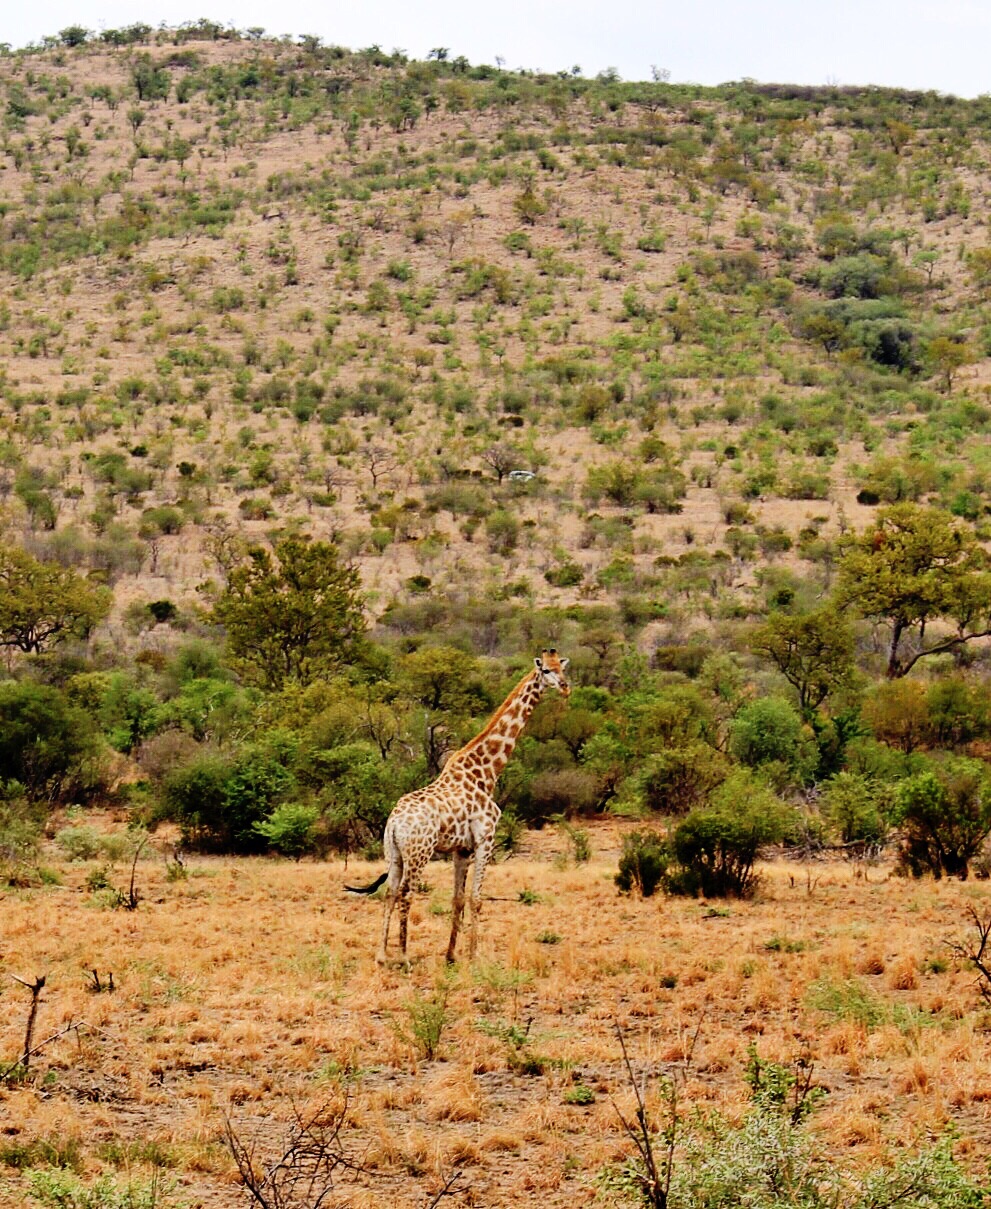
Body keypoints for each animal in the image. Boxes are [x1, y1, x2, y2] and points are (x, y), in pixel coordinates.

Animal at [345, 652, 568, 962]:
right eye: (546, 670)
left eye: (562, 668)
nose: (565, 687)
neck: (487, 772)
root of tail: (394, 823)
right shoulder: (486, 840)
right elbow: (476, 899)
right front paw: (474, 956)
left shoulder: (461, 849)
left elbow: (458, 898)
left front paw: (451, 955)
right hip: (420, 852)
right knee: (406, 893)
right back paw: (404, 956)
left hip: (394, 853)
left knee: (389, 892)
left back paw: (381, 954)